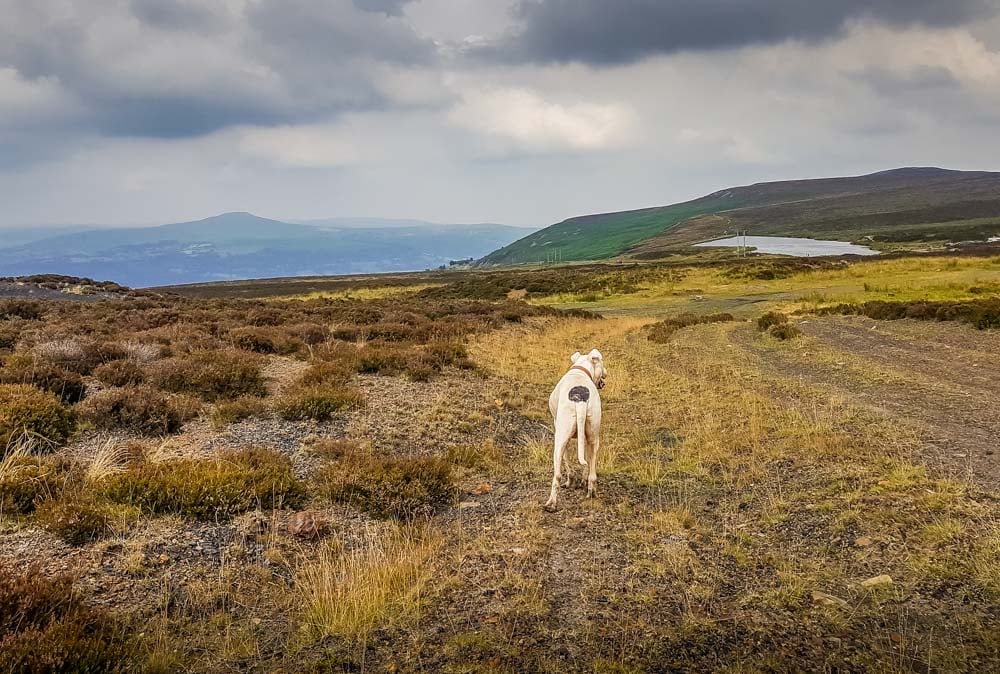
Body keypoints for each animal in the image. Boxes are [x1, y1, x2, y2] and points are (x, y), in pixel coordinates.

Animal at [544, 350, 604, 506]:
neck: (581, 370)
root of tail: (580, 400)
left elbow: (567, 461)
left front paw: (571, 481)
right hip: (593, 438)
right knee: (592, 472)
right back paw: (591, 491)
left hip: (559, 439)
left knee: (557, 475)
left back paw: (552, 503)